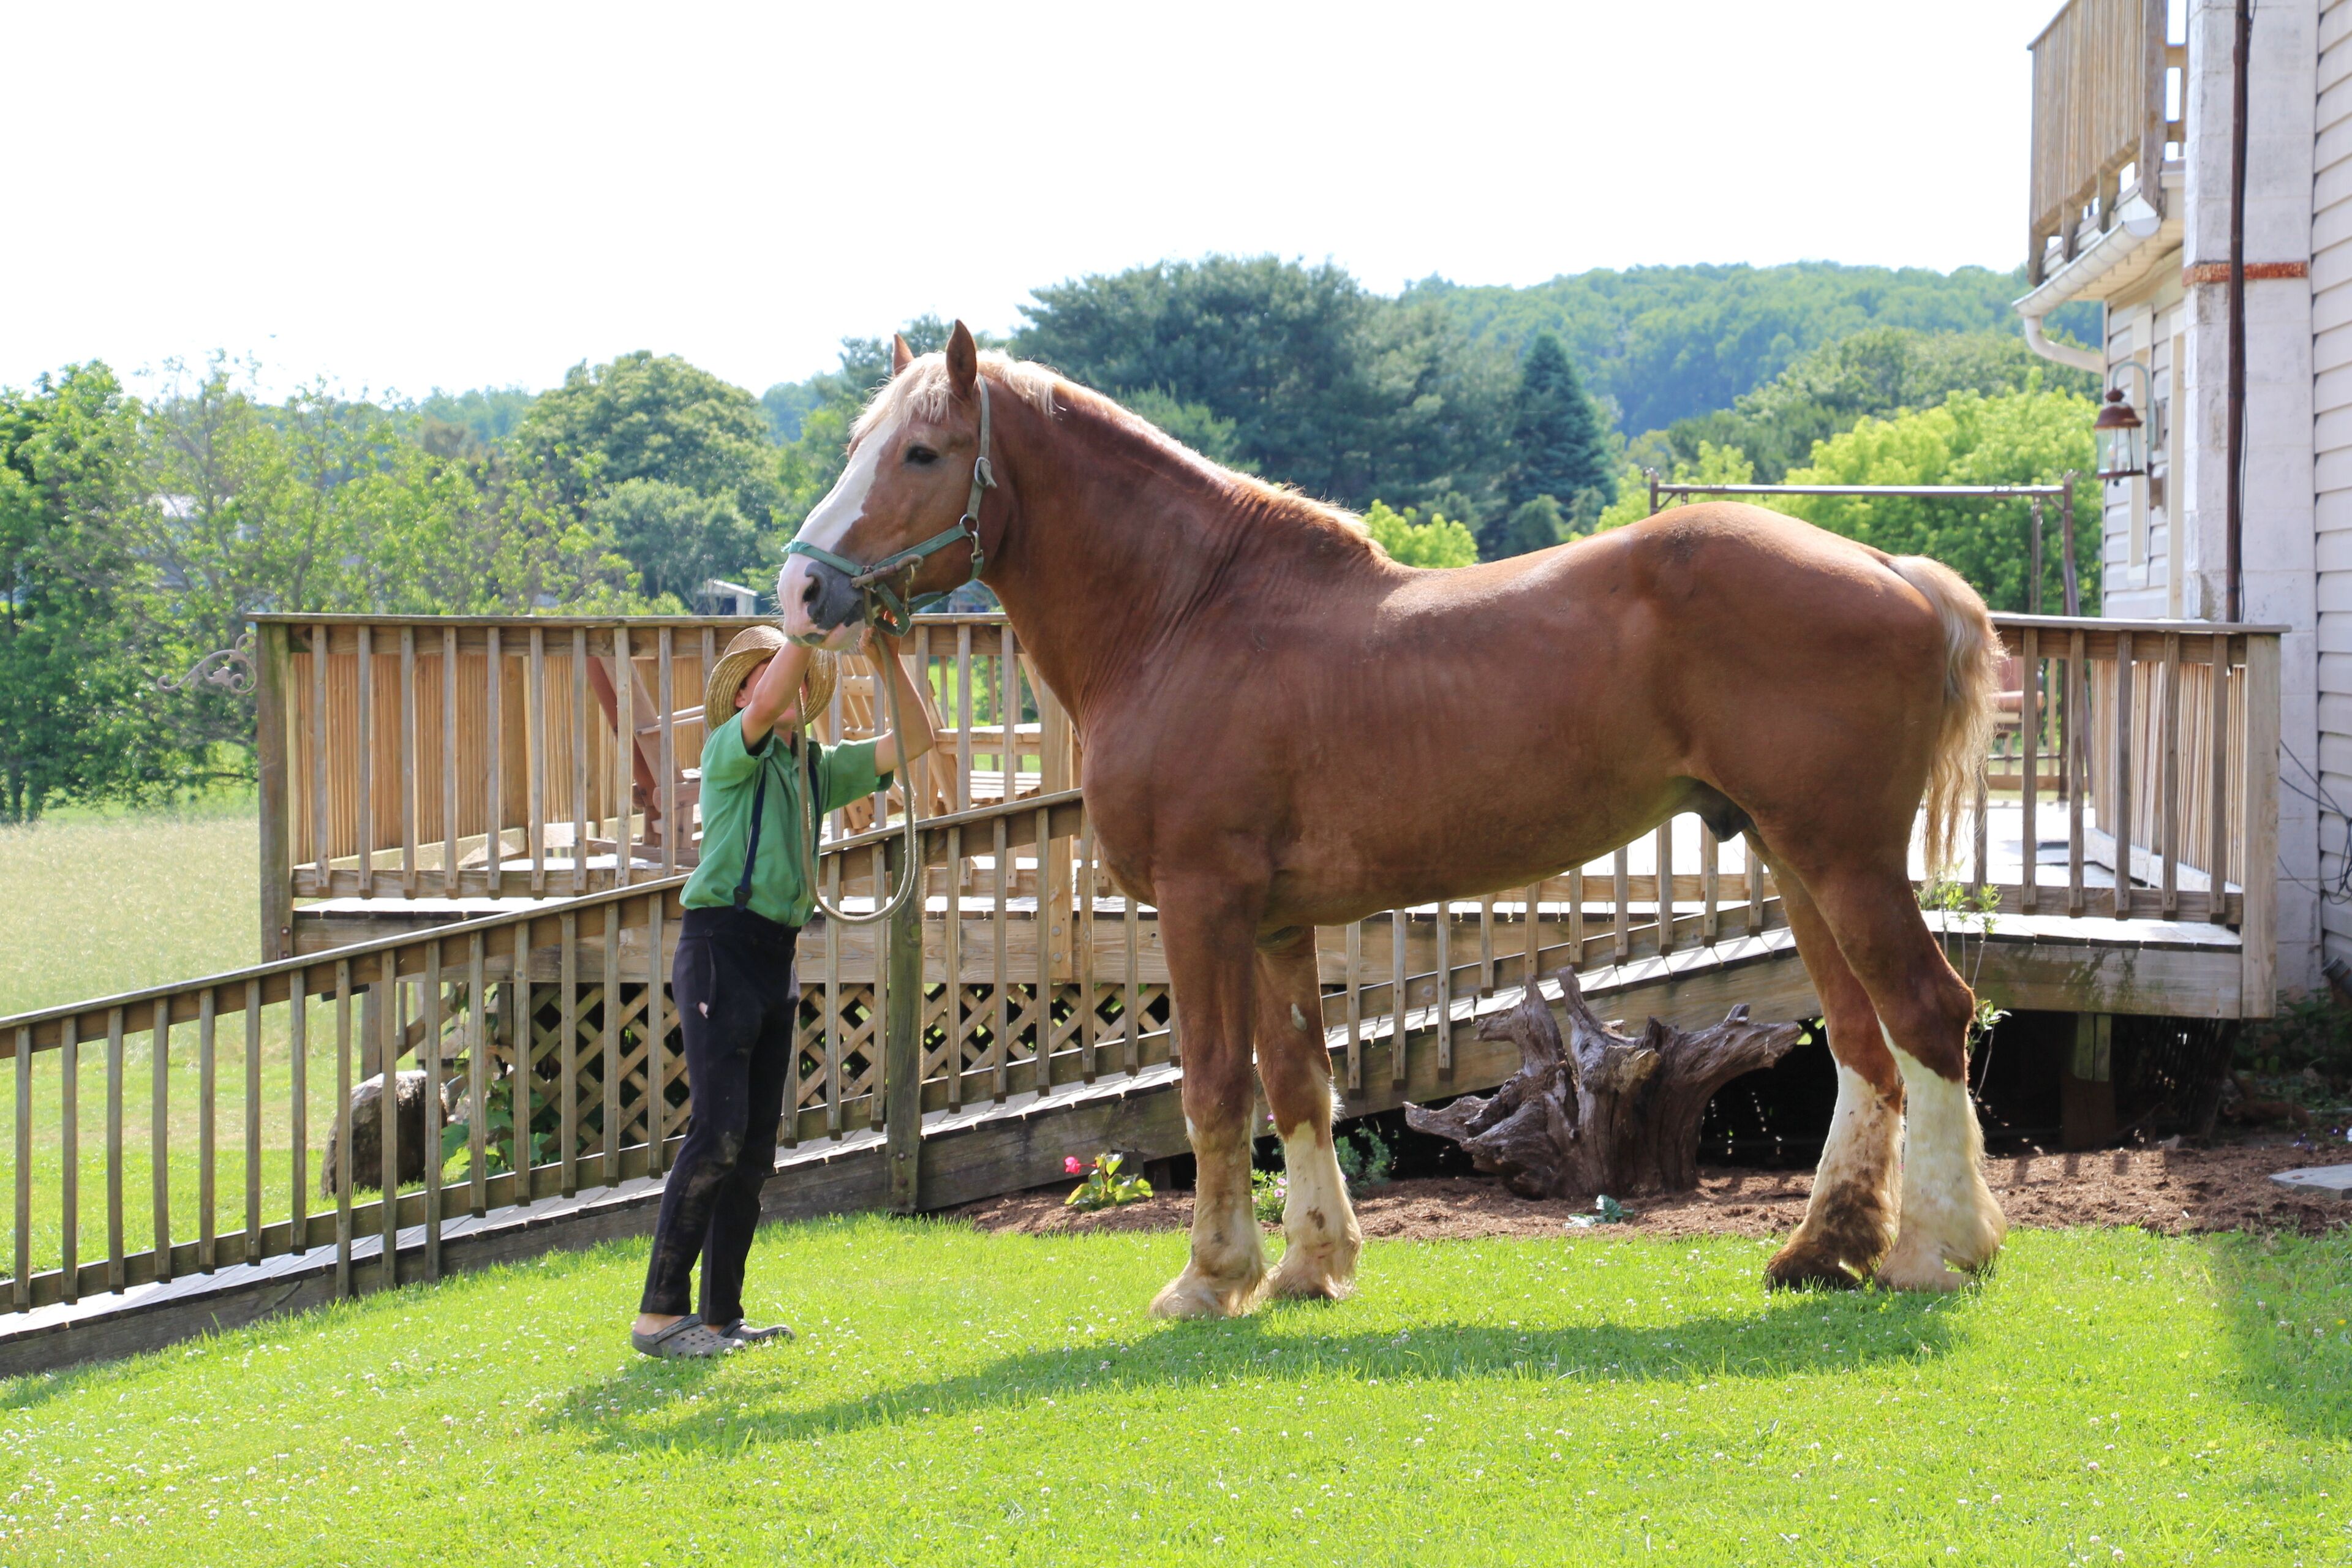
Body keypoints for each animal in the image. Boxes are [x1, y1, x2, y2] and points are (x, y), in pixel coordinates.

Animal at [779, 321, 2008, 1316]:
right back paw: (1826, 1250)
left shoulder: (1200, 904)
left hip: (1843, 860)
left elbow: (1214, 1086)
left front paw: (1210, 1279)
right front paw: (1309, 1265)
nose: (801, 591)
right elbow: (1298, 1085)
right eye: (857, 444)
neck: (1188, 614)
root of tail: (1892, 567)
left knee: (1928, 1014)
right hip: (1796, 860)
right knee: (1864, 1043)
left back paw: (1935, 1253)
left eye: (922, 452)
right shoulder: (1276, 925)